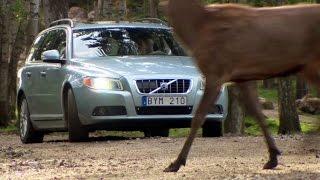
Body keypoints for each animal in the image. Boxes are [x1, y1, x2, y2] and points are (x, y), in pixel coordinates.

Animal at [164, 0, 320, 172]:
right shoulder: (243, 78)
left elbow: (198, 117)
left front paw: (176, 163)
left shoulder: (215, 72)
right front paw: (273, 157)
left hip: (312, 64)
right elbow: (258, 114)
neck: (197, 29)